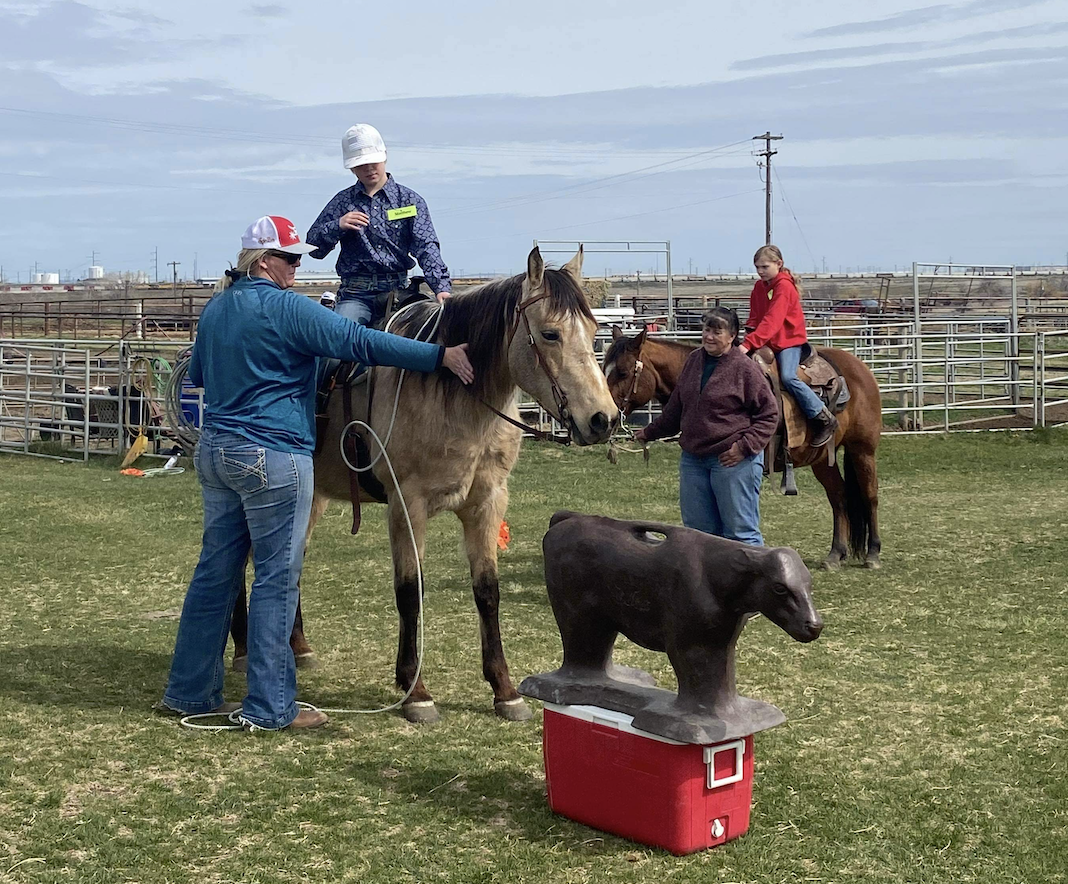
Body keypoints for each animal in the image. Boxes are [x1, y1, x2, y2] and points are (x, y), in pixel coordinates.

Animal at [233, 246, 618, 723]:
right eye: (550, 334)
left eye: (595, 330)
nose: (604, 419)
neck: (452, 395)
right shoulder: (407, 506)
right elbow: (409, 592)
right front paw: (415, 691)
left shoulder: (487, 503)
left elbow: (487, 592)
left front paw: (504, 690)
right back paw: (244, 651)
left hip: (312, 496)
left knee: (292, 559)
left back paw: (299, 648)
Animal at [603, 326, 882, 570]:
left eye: (624, 372)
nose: (606, 418)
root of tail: (860, 368)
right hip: (822, 460)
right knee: (839, 498)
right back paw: (836, 554)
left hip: (863, 450)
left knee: (869, 496)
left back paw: (873, 554)